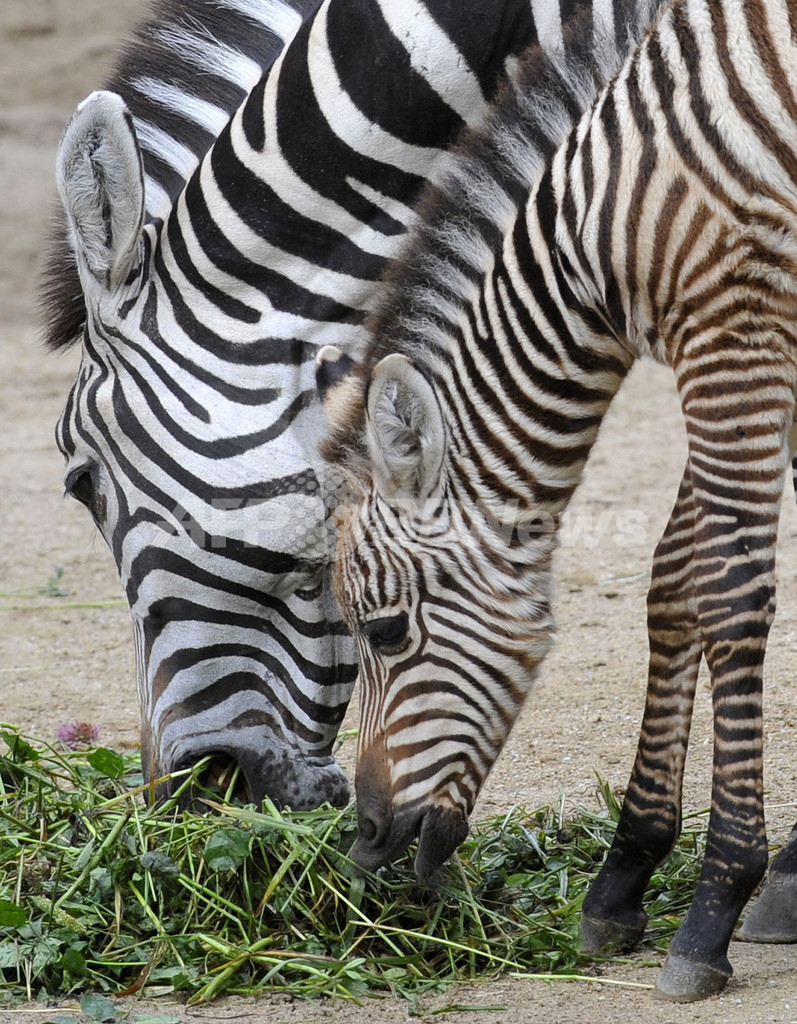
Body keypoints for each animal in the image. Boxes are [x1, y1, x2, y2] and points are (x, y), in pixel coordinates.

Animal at [319, 0, 794, 999]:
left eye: (384, 631)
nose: (366, 840)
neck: (591, 240)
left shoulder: (733, 333)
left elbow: (728, 590)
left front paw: (717, 899)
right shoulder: (760, 345)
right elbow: (675, 579)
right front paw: (626, 870)